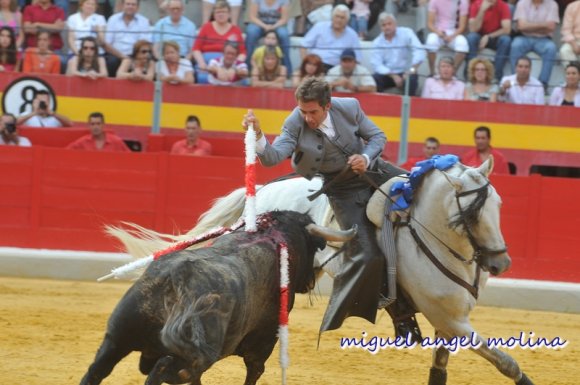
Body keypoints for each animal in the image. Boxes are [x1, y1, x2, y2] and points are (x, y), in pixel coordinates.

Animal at [80, 210, 354, 384]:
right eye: (314, 246)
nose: (310, 282)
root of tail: (177, 278)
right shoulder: (262, 345)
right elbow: (254, 372)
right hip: (192, 359)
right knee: (162, 371)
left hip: (116, 338)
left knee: (95, 372)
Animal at [107, 158, 532, 382]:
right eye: (472, 212)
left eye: (499, 203)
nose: (500, 262)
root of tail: (265, 190)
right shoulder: (453, 321)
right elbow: (506, 361)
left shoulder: (450, 322)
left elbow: (440, 370)